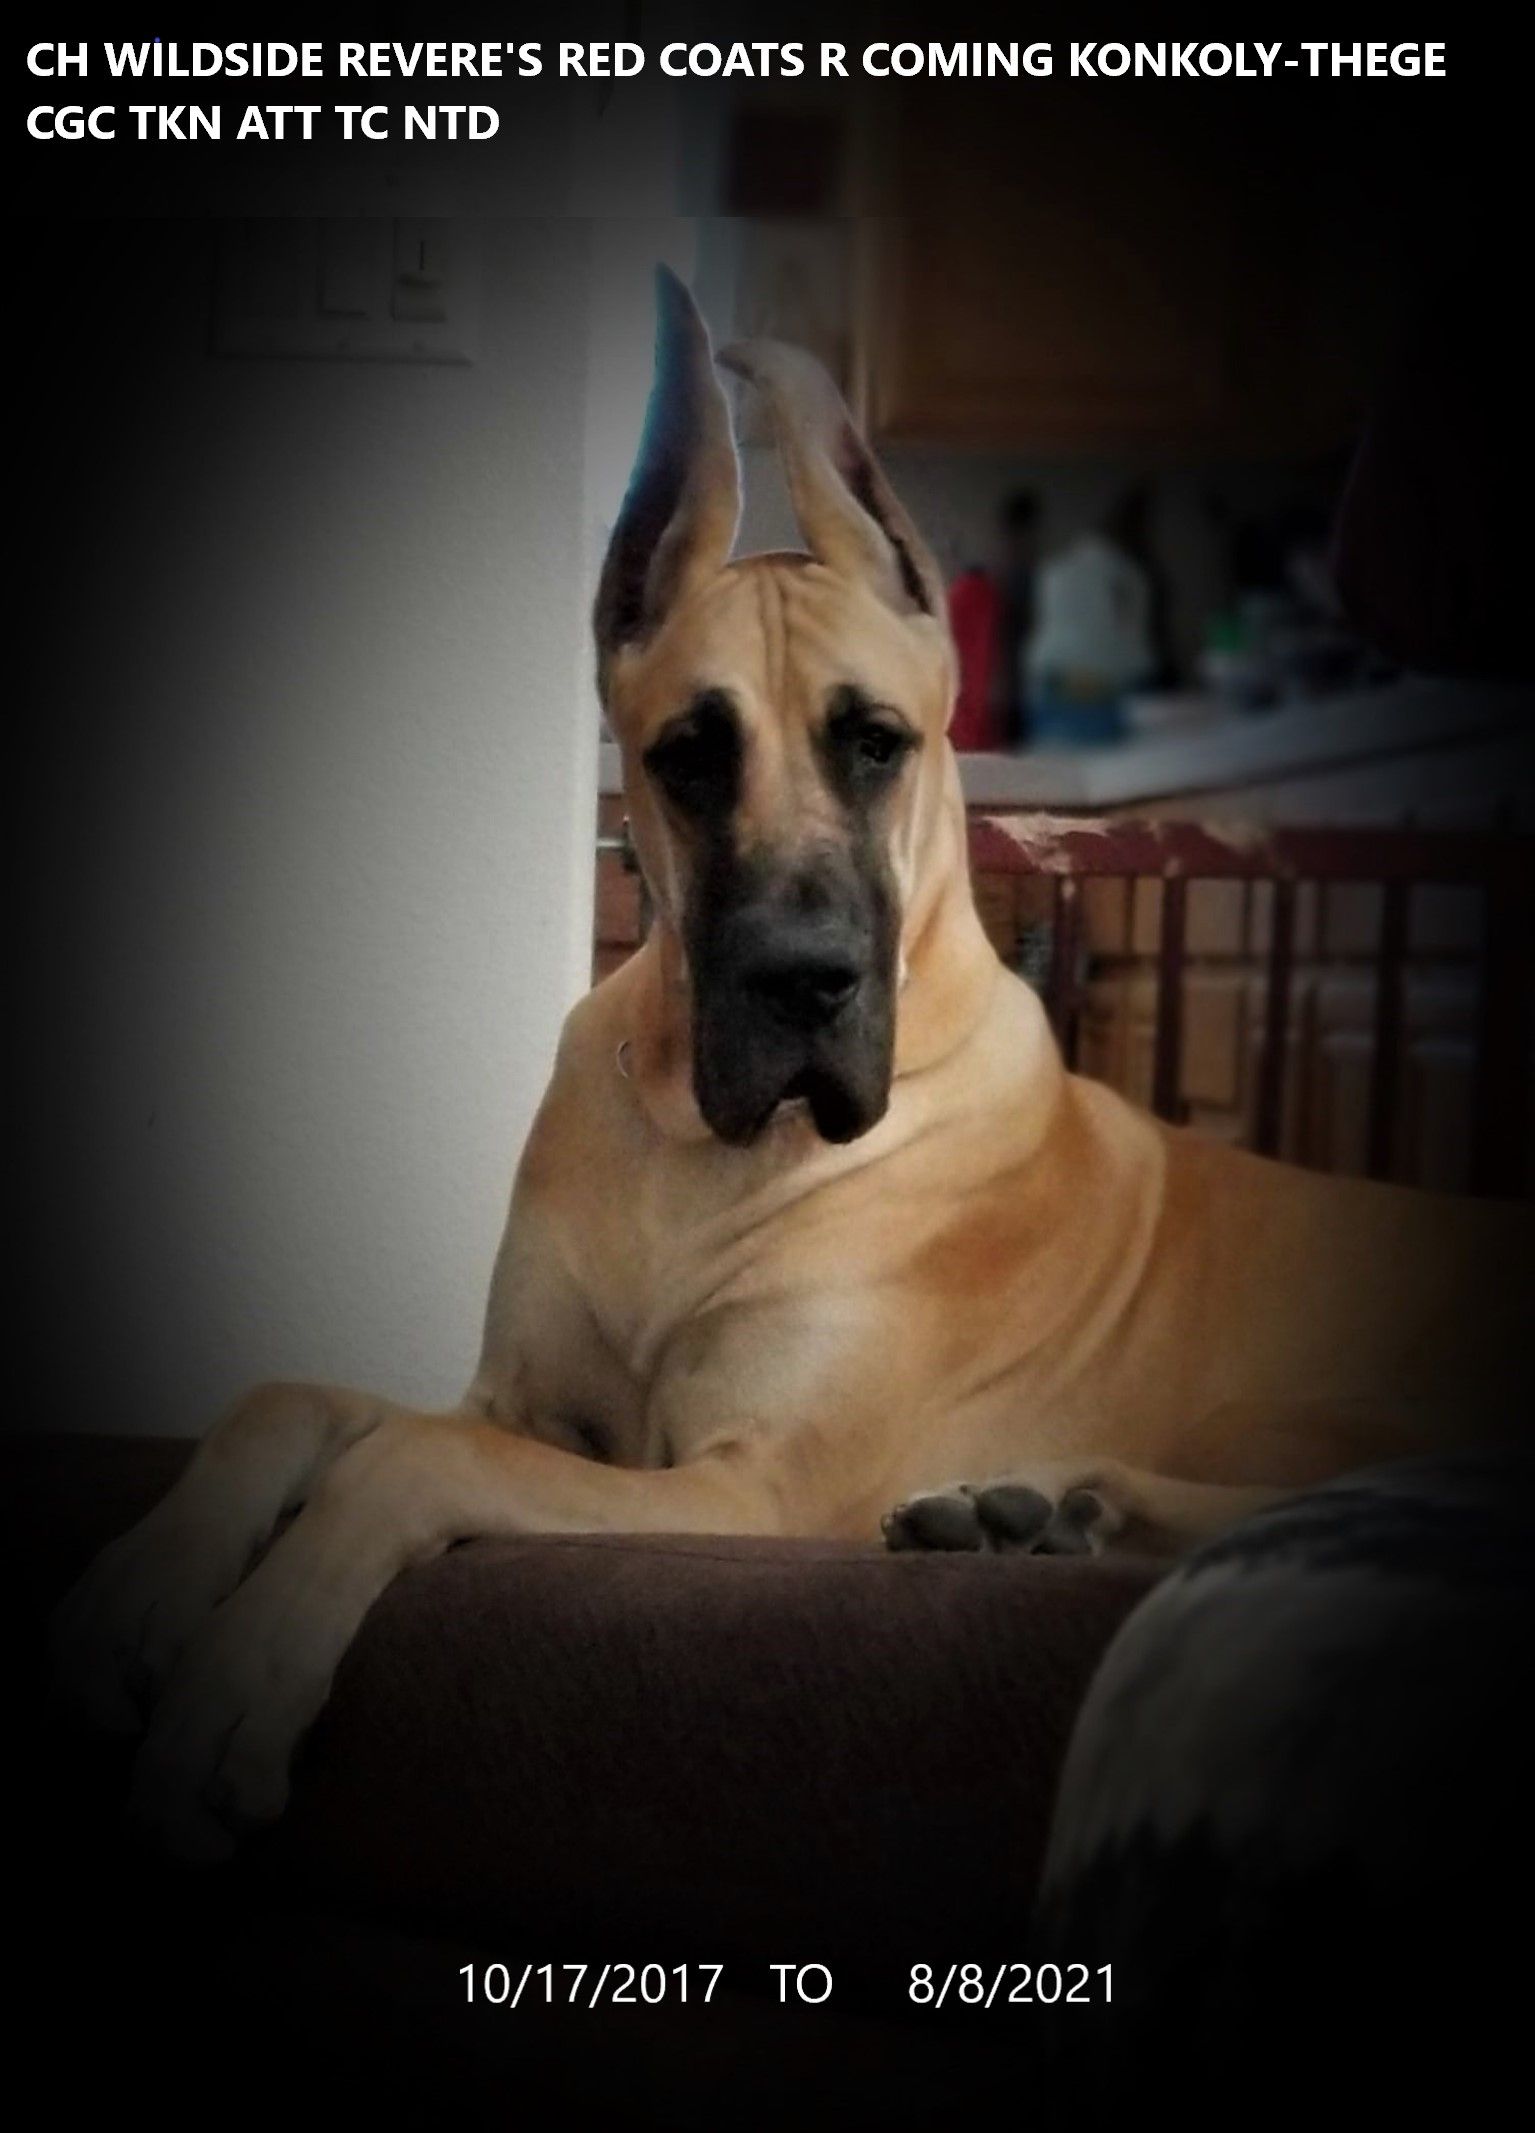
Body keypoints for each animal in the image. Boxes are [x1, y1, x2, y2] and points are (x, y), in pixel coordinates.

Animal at [52, 268, 1530, 1860]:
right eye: (688, 756)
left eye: (874, 744)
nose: (799, 981)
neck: (697, 1141)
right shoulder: (524, 1401)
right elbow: (293, 1400)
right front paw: (134, 1598)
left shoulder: (746, 1482)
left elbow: (410, 1462)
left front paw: (234, 1684)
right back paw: (1008, 1518)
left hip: (1300, 1407)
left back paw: (1031, 1509)